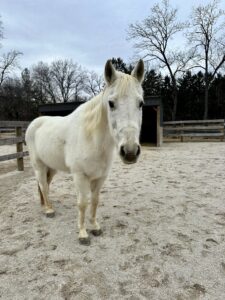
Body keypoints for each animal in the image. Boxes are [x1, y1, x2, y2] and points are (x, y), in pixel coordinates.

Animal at [25, 59, 144, 245]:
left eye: (141, 103)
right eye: (111, 103)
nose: (130, 151)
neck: (92, 138)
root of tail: (34, 123)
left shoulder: (100, 177)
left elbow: (94, 201)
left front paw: (95, 227)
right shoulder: (80, 176)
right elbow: (82, 203)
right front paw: (82, 234)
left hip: (51, 168)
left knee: (44, 185)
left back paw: (45, 205)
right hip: (38, 165)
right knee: (43, 185)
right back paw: (49, 210)